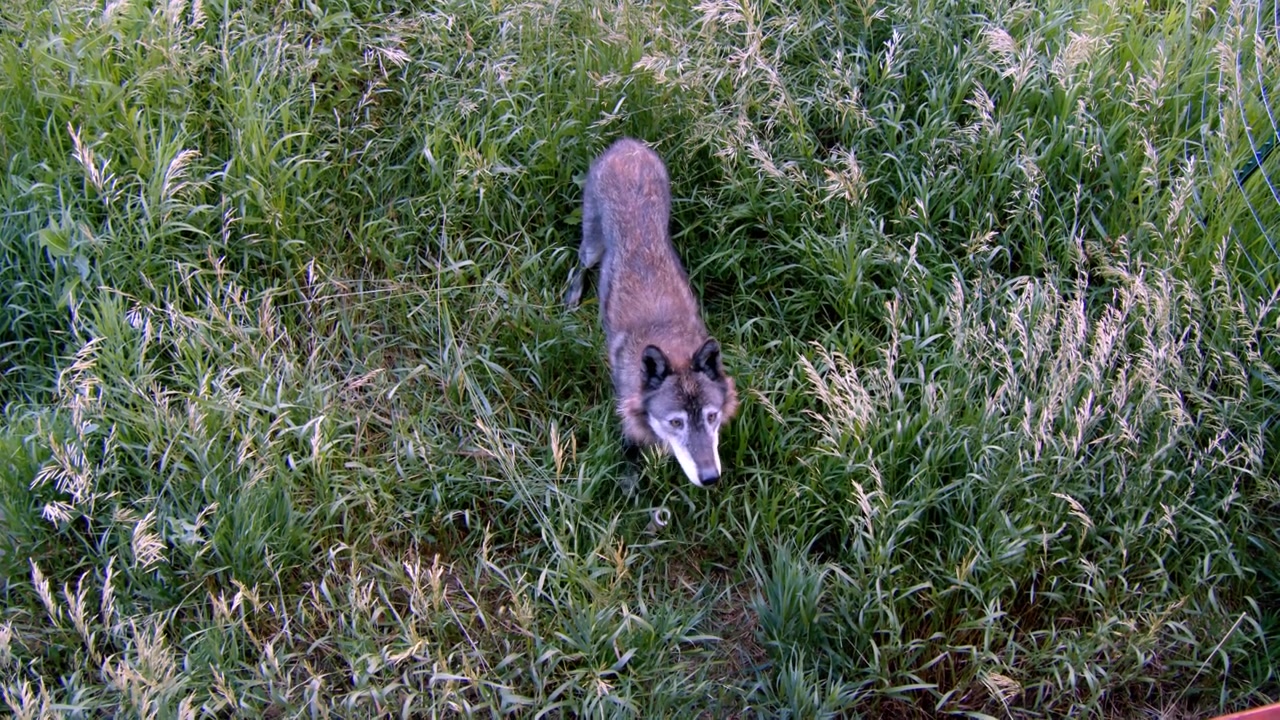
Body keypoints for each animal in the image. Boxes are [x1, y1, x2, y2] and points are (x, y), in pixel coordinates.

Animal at [565, 138, 738, 487]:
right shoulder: (626, 416)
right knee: (579, 264)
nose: (710, 478)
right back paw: (572, 296)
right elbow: (630, 458)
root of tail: (627, 145)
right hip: (591, 247)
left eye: (711, 417)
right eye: (676, 422)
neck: (669, 341)